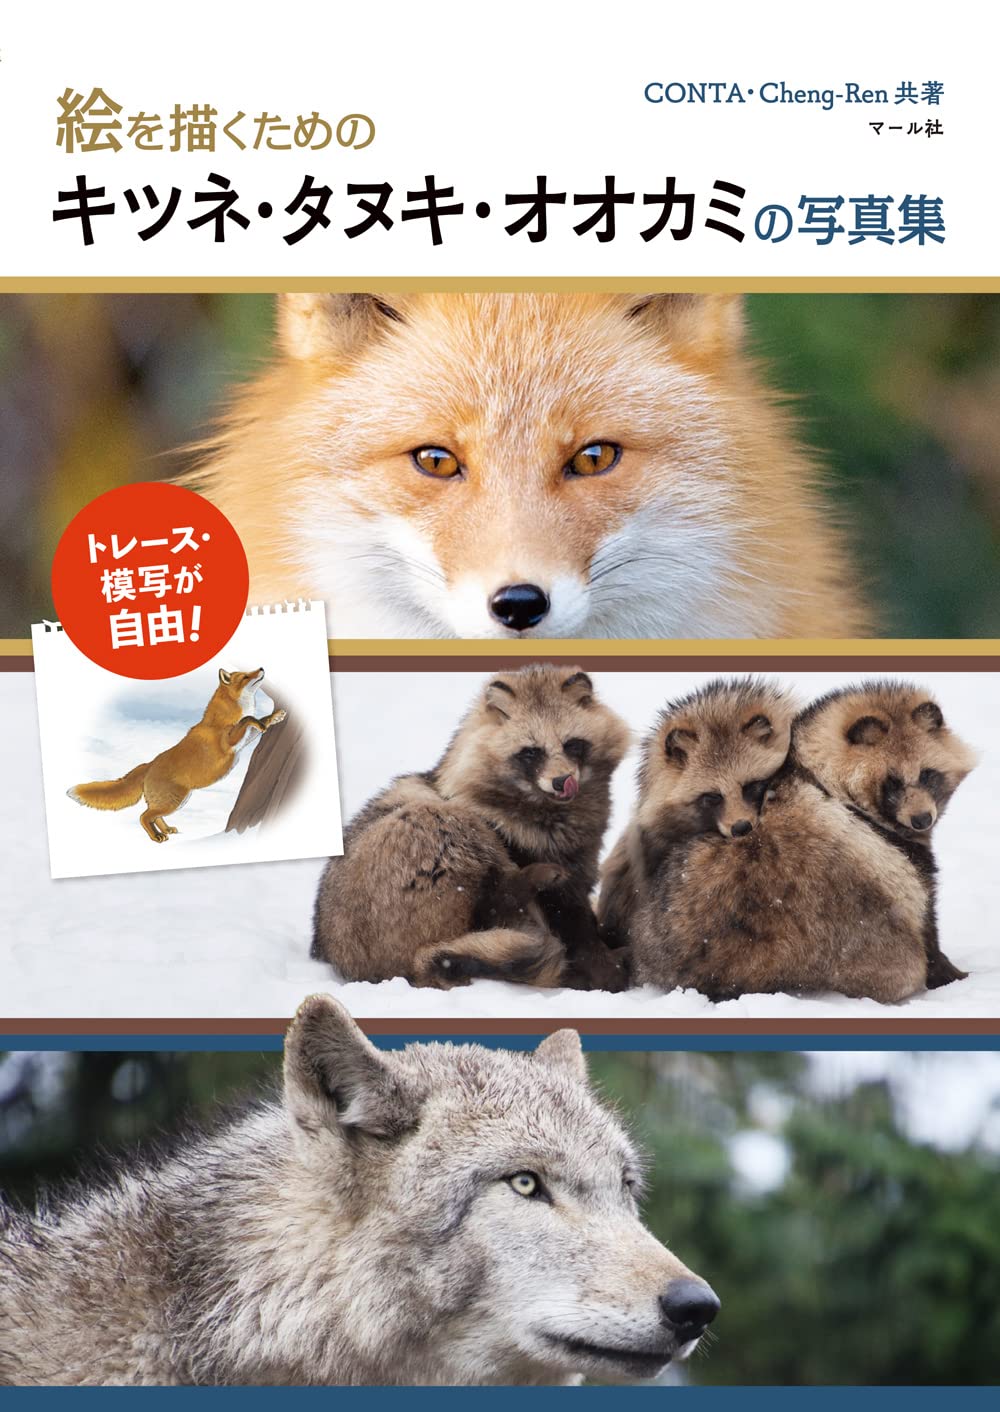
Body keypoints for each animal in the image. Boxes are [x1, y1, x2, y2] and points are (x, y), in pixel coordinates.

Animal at [67, 668, 287, 843]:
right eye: (245, 676)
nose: (261, 668)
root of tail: (149, 764)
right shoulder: (229, 742)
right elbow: (248, 719)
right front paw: (262, 720)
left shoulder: (244, 740)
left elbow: (259, 720)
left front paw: (275, 717)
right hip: (173, 800)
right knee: (143, 816)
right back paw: (156, 836)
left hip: (178, 800)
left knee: (153, 816)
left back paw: (166, 831)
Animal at [312, 665, 630, 990]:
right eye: (531, 752)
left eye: (572, 744)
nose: (561, 781)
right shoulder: (520, 844)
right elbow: (569, 917)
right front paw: (601, 966)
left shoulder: (581, 857)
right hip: (429, 838)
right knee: (489, 903)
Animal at [793, 681, 978, 988]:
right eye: (892, 781)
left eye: (927, 774)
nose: (921, 820)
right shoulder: (897, 859)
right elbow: (924, 919)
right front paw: (951, 974)